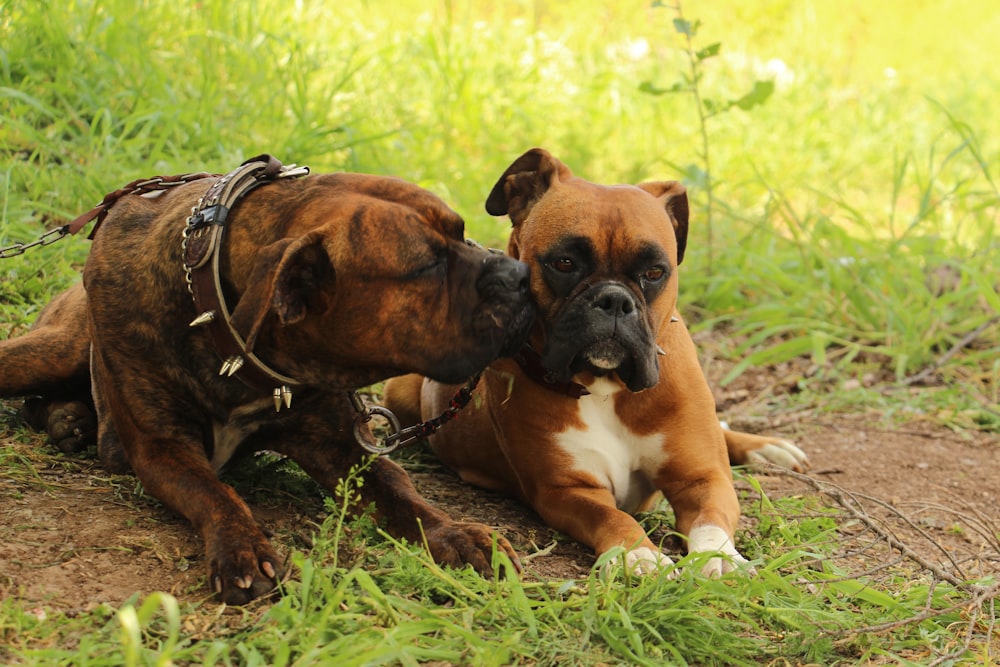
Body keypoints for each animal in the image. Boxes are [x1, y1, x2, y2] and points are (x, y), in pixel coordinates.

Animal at [0, 157, 536, 604]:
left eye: (462, 232)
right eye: (427, 266)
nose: (520, 273)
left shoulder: (343, 449)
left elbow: (402, 492)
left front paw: (455, 533)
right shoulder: (163, 447)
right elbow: (214, 493)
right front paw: (240, 547)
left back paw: (70, 419)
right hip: (52, 351)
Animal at [386, 149, 808, 576]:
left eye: (654, 272)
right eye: (564, 263)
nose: (614, 300)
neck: (607, 387)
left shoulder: (702, 479)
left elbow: (710, 519)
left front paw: (718, 558)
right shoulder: (568, 491)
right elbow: (612, 516)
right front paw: (637, 553)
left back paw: (766, 448)